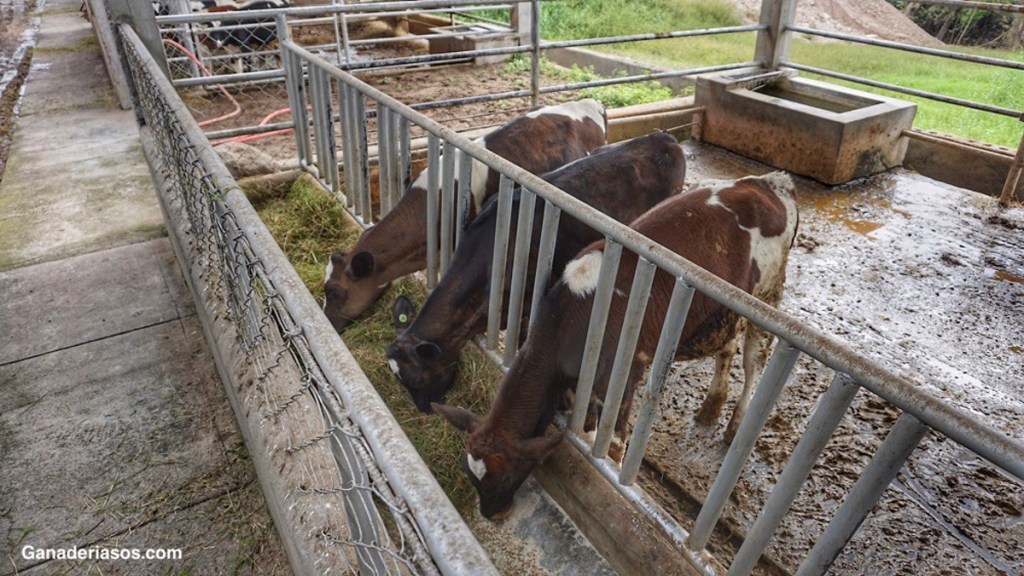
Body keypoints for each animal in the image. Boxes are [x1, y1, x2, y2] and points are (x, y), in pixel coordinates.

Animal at [434, 172, 800, 520]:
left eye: (506, 478)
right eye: (470, 474)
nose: (492, 515)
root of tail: (770, 181)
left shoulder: (621, 379)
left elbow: (612, 444)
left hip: (769, 295)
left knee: (755, 361)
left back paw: (737, 424)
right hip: (725, 312)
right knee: (727, 347)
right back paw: (711, 406)